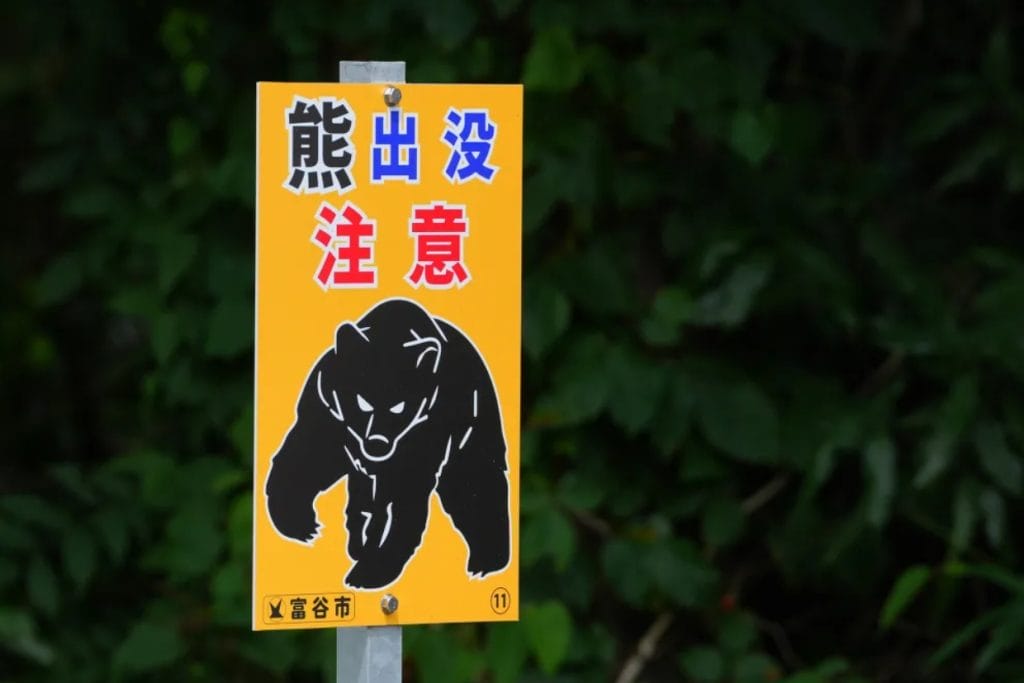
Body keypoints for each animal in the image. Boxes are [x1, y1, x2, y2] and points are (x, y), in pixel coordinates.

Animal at [264, 297, 511, 590]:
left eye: (399, 406)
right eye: (362, 401)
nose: (377, 443)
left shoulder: (427, 431)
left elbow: (405, 501)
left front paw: (367, 573)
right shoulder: (328, 413)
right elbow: (304, 460)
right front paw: (304, 525)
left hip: (473, 427)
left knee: (476, 484)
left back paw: (485, 563)